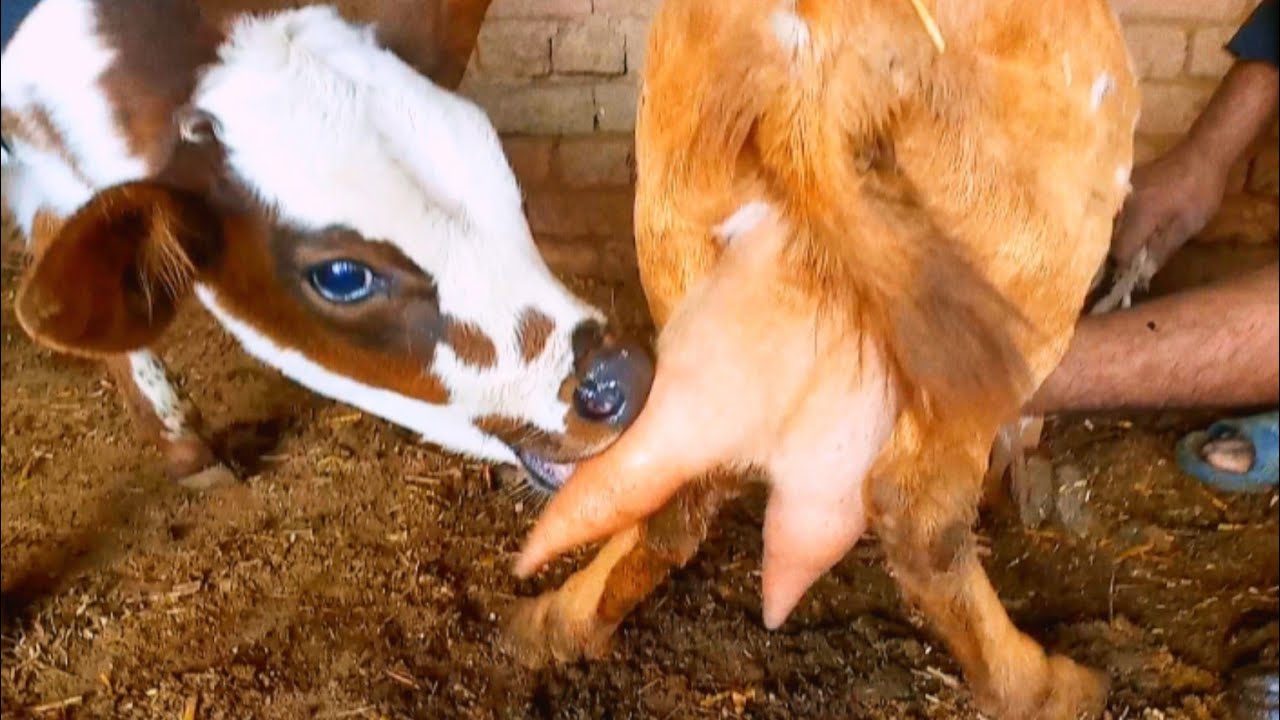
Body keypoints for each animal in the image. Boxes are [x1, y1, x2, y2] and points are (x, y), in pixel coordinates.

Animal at [502, 1, 1139, 718]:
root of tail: (824, 43)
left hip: (676, 223)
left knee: (673, 467)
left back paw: (553, 625)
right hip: (1022, 269)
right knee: (919, 512)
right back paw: (1049, 687)